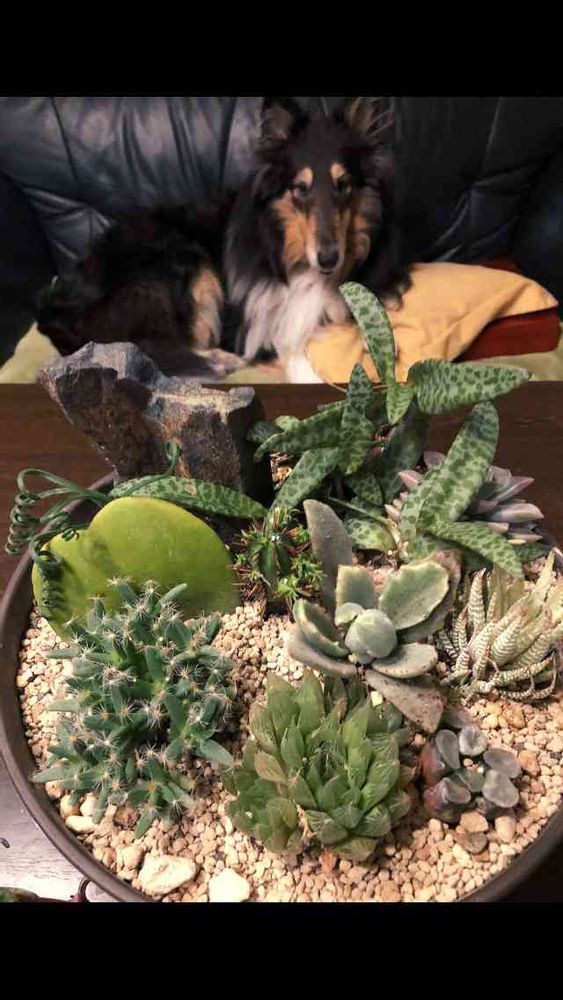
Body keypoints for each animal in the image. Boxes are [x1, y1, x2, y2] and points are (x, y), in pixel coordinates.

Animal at [37, 96, 410, 382]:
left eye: (343, 185)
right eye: (300, 188)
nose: (329, 259)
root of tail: (54, 308)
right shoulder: (256, 322)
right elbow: (292, 350)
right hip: (179, 262)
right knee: (151, 344)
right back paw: (221, 361)